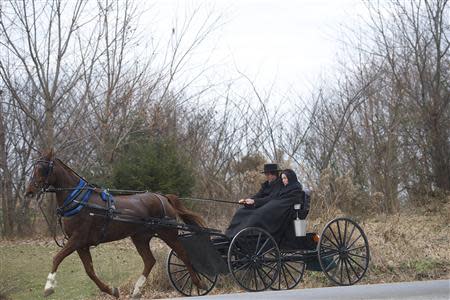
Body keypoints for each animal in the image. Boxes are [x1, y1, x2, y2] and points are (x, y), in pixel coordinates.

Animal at [26, 150, 206, 298]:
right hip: (140, 238)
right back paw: (137, 290)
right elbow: (90, 271)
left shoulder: (77, 239)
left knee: (183, 254)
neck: (79, 200)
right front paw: (112, 290)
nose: (29, 191)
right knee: (150, 261)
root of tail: (162, 197)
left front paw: (48, 287)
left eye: (42, 168)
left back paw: (199, 283)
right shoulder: (82, 245)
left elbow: (57, 258)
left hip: (168, 234)